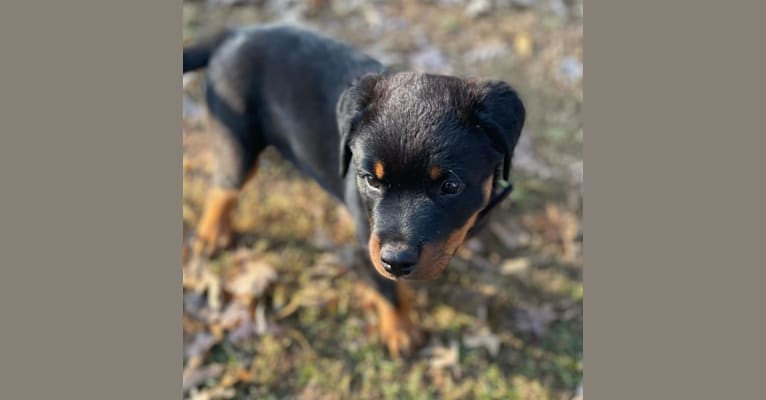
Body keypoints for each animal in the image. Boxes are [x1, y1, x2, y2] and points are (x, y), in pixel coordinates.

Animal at [183, 25, 524, 356]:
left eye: (450, 186)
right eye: (371, 180)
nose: (396, 260)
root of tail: (234, 34)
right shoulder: (368, 231)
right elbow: (387, 288)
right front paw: (400, 329)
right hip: (235, 137)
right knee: (224, 187)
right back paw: (212, 234)